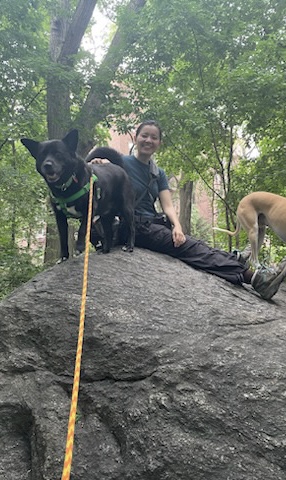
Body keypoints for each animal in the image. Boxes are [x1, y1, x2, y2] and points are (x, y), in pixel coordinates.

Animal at [21, 129, 135, 260]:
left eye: (58, 154)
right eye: (42, 156)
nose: (47, 165)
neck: (66, 185)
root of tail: (120, 168)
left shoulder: (89, 210)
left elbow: (82, 230)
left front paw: (79, 248)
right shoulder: (60, 217)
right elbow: (63, 238)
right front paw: (64, 257)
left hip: (126, 209)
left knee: (131, 227)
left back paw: (129, 246)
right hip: (106, 216)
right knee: (108, 233)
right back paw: (105, 250)